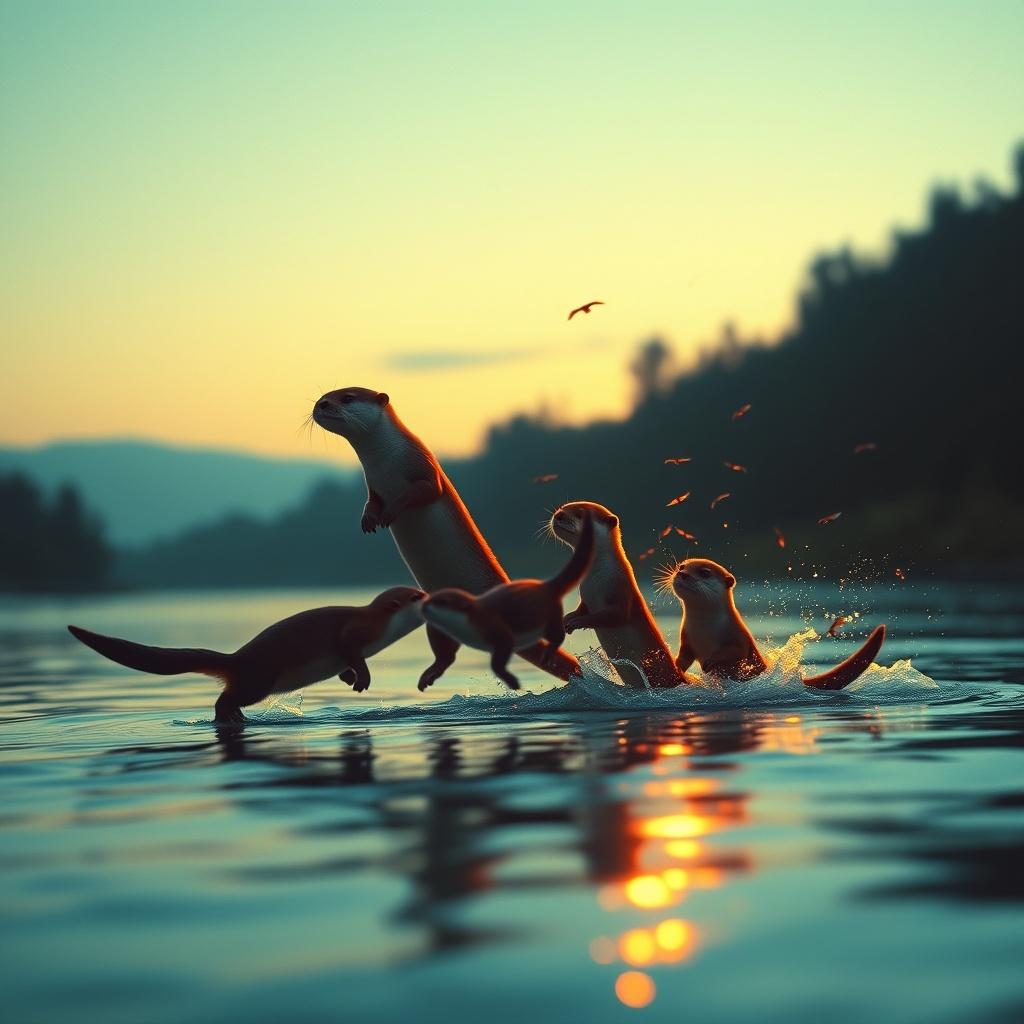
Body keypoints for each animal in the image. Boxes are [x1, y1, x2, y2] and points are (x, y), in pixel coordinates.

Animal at [68, 587, 431, 722]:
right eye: (417, 596)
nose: (432, 595)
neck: (378, 629)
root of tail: (236, 657)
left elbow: (347, 663)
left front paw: (348, 677)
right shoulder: (352, 633)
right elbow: (350, 651)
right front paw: (362, 679)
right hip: (259, 680)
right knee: (225, 698)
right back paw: (229, 716)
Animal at [312, 386, 580, 683]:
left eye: (347, 397)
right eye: (323, 396)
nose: (322, 405)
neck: (386, 463)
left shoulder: (423, 466)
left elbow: (424, 491)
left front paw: (389, 513)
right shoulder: (373, 485)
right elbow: (371, 503)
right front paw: (369, 520)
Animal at [417, 511, 596, 692]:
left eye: (442, 601)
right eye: (431, 597)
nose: (423, 605)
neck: (469, 624)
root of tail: (545, 586)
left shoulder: (495, 629)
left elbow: (499, 658)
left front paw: (512, 682)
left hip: (548, 616)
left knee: (558, 635)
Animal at [549, 500, 691, 688]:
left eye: (580, 514)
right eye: (562, 508)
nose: (558, 515)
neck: (597, 578)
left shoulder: (621, 591)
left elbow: (614, 615)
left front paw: (577, 622)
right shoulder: (586, 595)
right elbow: (582, 608)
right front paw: (567, 619)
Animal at [668, 558, 885, 689]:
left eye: (704, 573)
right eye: (681, 567)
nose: (682, 574)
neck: (704, 628)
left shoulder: (737, 635)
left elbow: (734, 651)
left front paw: (710, 662)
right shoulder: (687, 639)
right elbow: (684, 657)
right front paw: (677, 665)